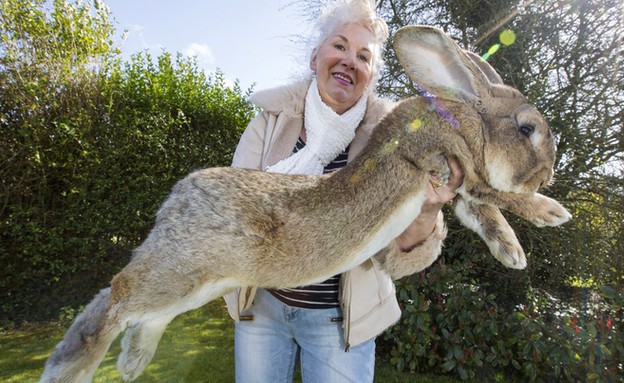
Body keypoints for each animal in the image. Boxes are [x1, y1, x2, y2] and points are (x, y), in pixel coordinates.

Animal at [42, 25, 572, 382]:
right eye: (527, 128)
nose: (549, 173)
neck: (464, 117)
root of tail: (176, 200)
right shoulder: (450, 163)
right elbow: (497, 194)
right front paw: (550, 212)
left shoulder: (459, 190)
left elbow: (483, 213)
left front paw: (512, 253)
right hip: (183, 269)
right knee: (117, 296)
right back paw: (74, 367)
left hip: (196, 283)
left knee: (138, 311)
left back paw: (131, 362)